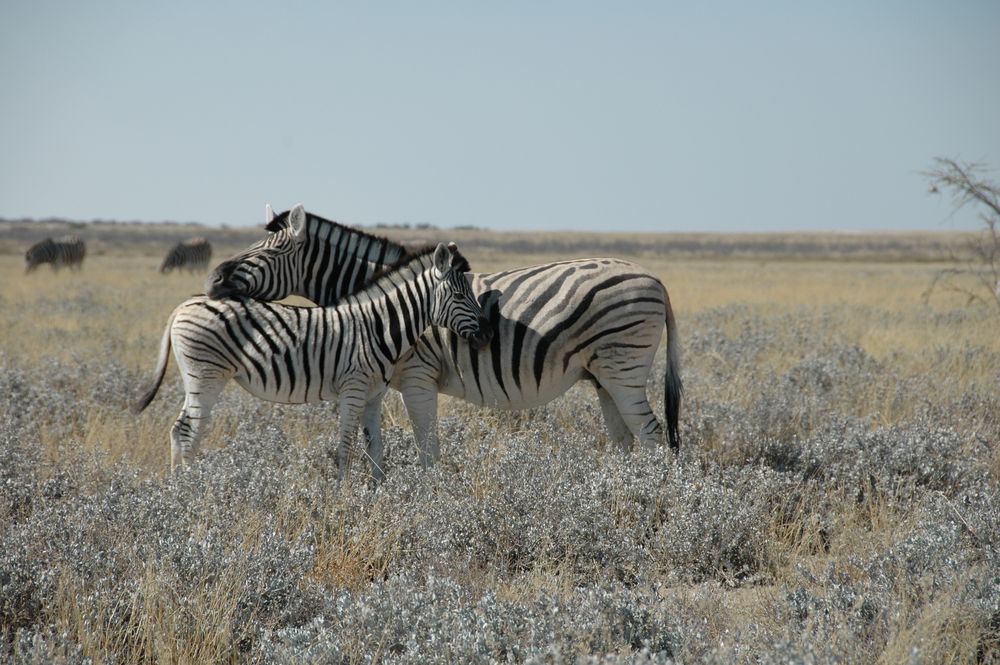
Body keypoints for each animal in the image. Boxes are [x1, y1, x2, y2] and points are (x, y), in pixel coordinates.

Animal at [133, 236, 492, 480]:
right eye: (459, 295)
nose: (488, 336)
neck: (378, 325)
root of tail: (184, 304)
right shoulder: (352, 389)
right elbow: (346, 447)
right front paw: (342, 496)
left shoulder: (374, 395)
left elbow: (375, 448)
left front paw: (378, 493)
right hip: (206, 375)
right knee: (187, 431)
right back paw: (188, 489)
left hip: (199, 377)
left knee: (179, 429)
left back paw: (177, 486)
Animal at [207, 202, 684, 462]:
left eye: (270, 250)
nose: (214, 279)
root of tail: (657, 280)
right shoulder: (378, 382)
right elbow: (375, 444)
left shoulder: (417, 377)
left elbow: (426, 449)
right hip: (603, 375)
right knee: (626, 440)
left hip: (623, 368)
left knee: (653, 437)